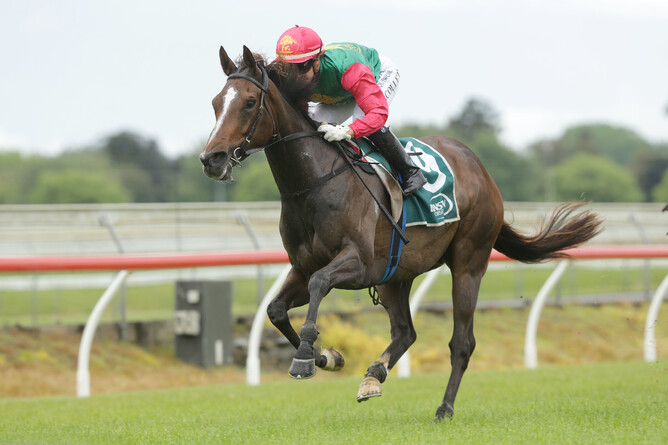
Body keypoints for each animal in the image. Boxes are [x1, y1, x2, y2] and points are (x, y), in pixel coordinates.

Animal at [199, 46, 602, 422]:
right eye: (216, 103)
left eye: (249, 102)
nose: (211, 159)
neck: (315, 183)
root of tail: (480, 168)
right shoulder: (302, 266)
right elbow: (276, 309)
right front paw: (327, 357)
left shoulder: (358, 264)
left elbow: (319, 283)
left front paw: (304, 359)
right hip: (396, 273)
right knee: (406, 332)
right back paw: (373, 375)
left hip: (468, 262)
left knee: (462, 342)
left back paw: (444, 408)